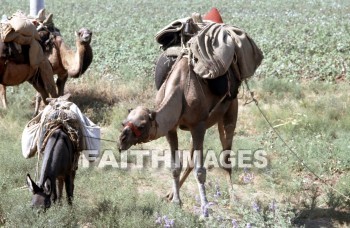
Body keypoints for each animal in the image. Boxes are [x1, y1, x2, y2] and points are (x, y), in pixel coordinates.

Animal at [117, 55, 241, 217]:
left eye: (141, 126)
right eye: (123, 122)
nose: (121, 142)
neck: (180, 90)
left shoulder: (198, 125)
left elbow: (200, 170)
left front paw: (205, 211)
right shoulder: (171, 129)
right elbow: (176, 165)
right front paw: (176, 201)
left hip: (230, 111)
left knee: (226, 155)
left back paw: (233, 200)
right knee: (191, 159)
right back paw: (169, 194)